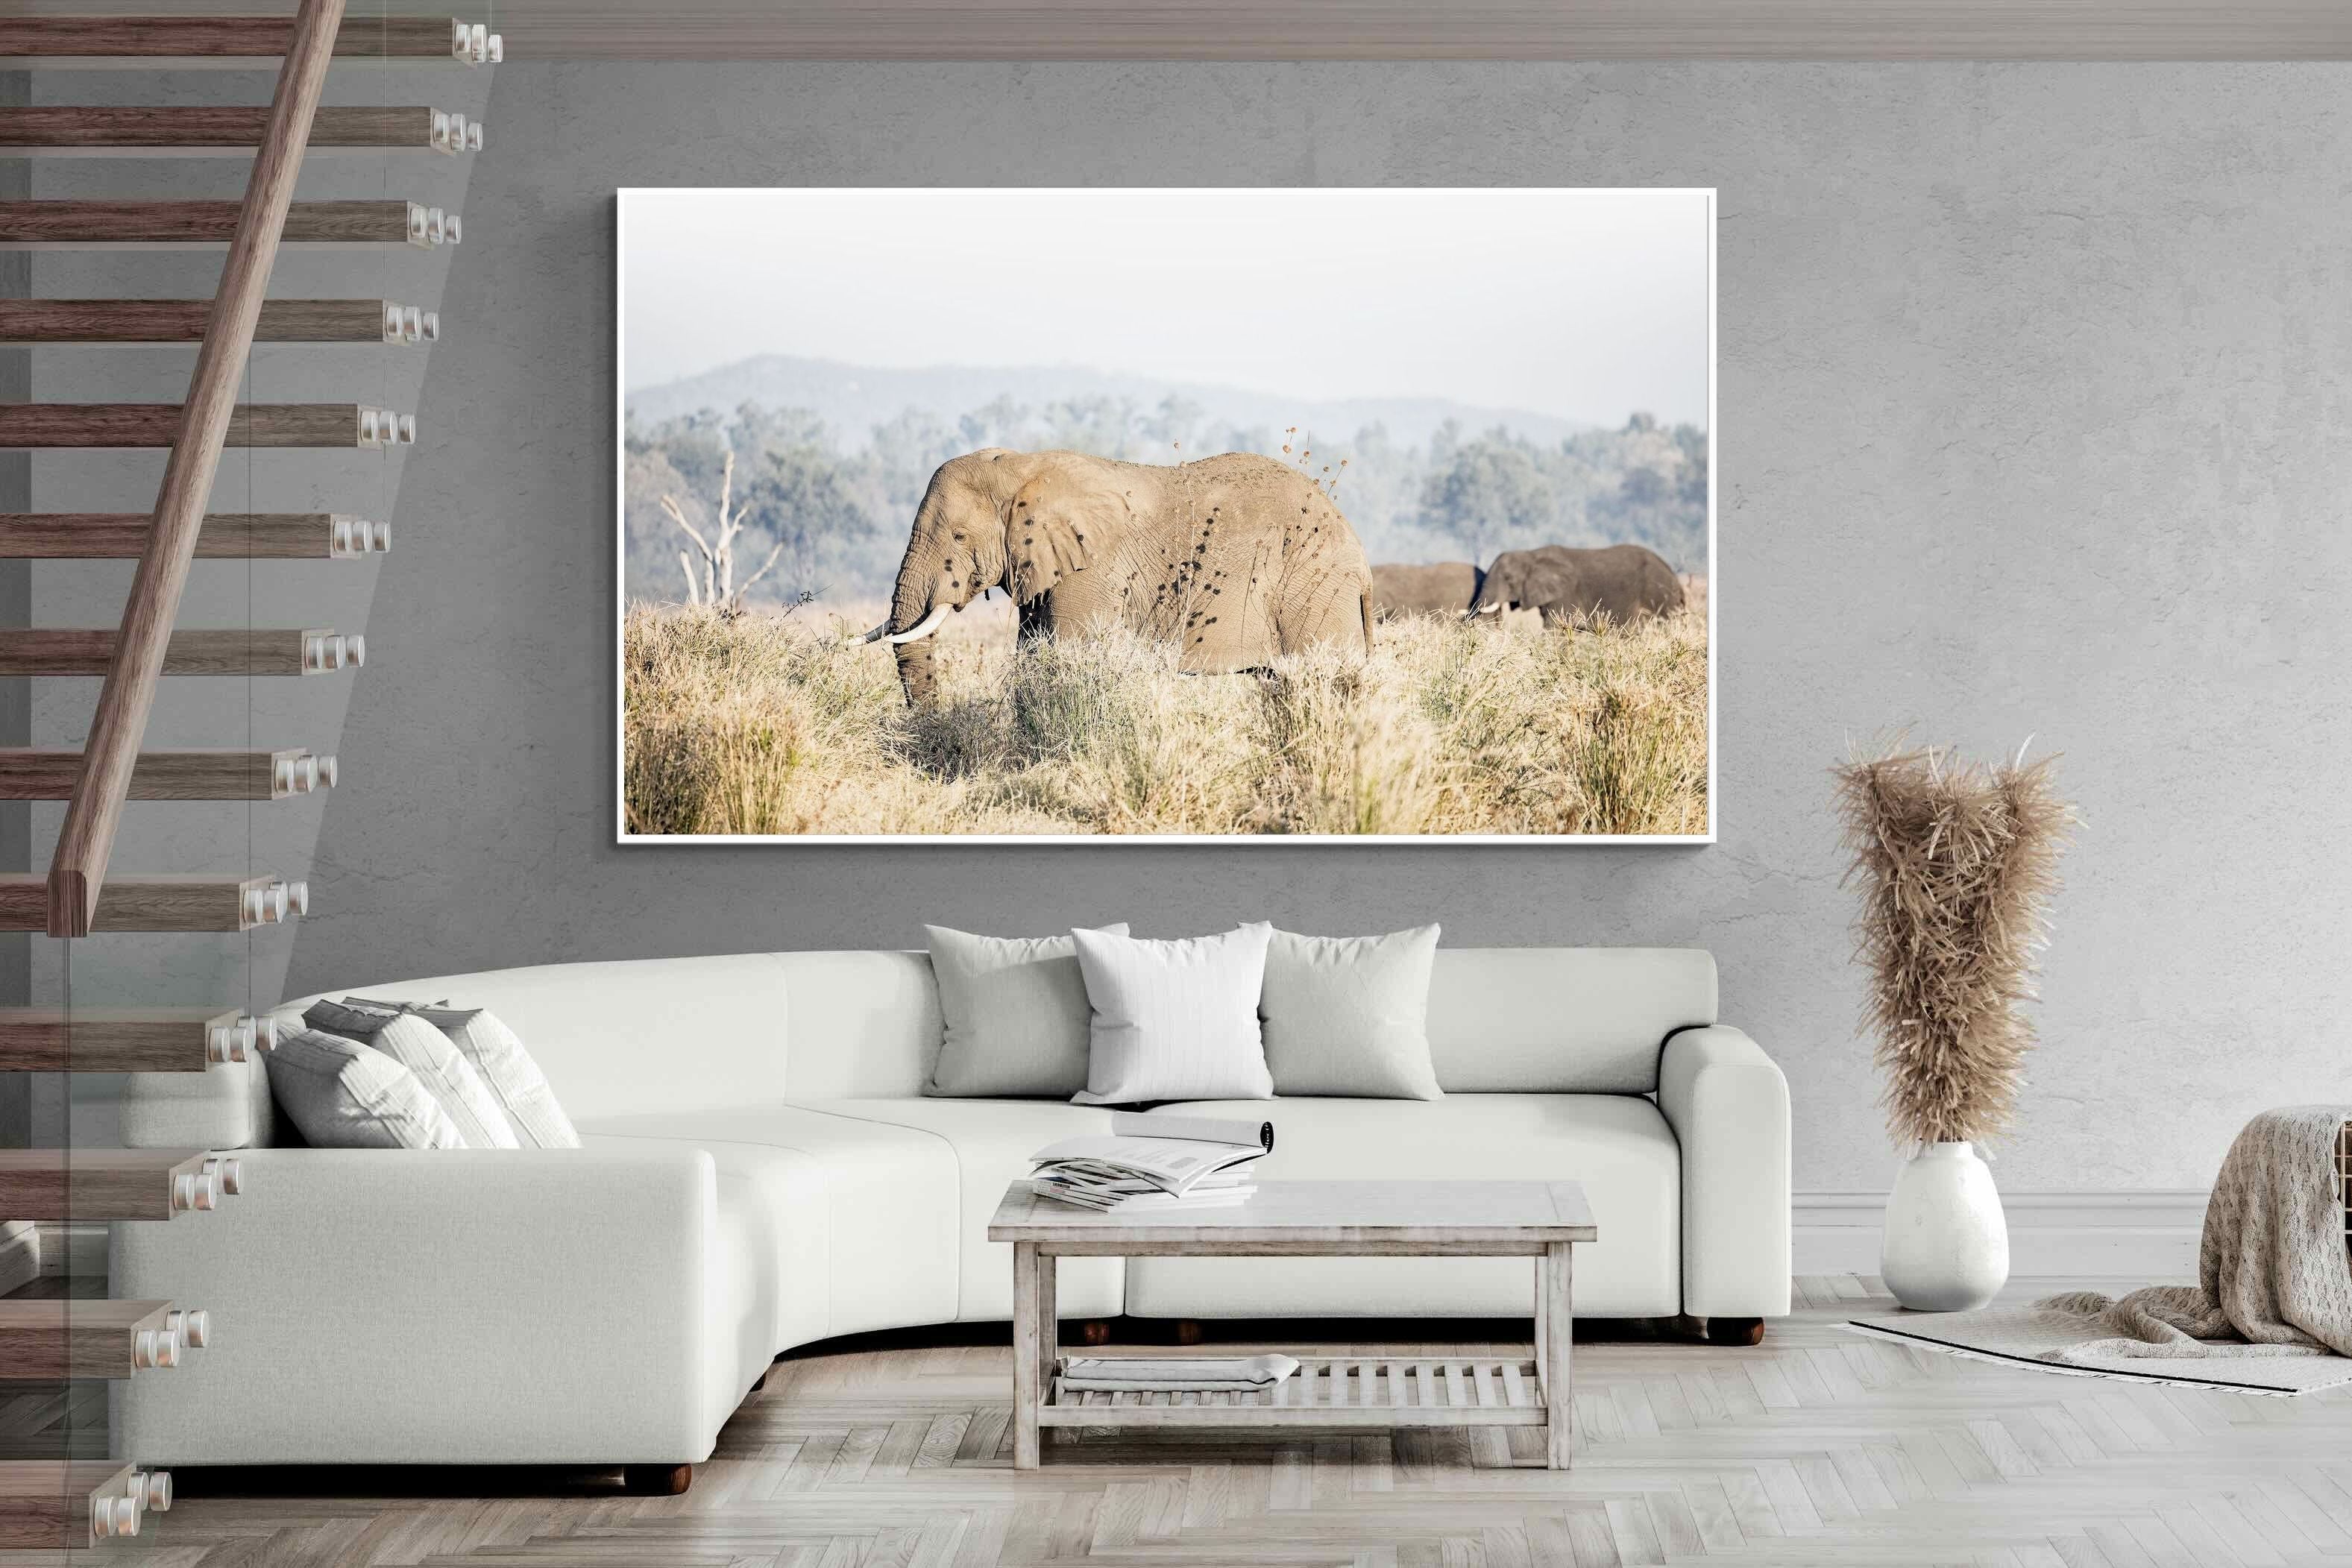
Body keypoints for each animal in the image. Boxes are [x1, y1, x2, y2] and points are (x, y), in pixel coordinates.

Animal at [864, 449, 1374, 705]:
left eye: (958, 535)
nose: (933, 741)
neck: (1023, 464)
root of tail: (1360, 559)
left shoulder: (1093, 570)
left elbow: (1067, 655)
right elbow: (1033, 657)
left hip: (1314, 588)